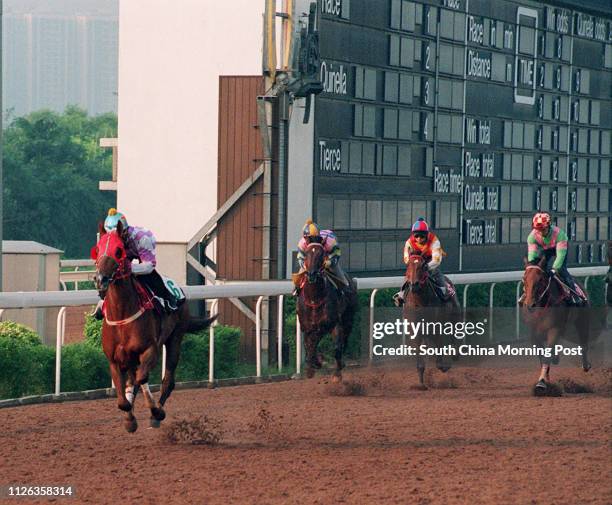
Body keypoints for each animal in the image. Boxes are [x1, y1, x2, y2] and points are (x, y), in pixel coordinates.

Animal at [91, 222, 215, 432]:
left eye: (118, 251)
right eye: (98, 249)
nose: (101, 280)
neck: (122, 315)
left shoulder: (150, 350)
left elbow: (142, 379)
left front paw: (156, 412)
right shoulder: (114, 360)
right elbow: (123, 399)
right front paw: (129, 418)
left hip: (175, 338)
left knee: (167, 381)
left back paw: (157, 413)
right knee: (134, 381)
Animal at [296, 242, 356, 380]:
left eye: (321, 254)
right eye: (306, 253)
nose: (311, 274)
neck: (314, 299)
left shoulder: (333, 324)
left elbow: (336, 348)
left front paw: (337, 373)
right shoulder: (308, 327)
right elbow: (309, 346)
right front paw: (313, 366)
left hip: (348, 319)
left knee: (344, 341)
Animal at [402, 254, 460, 388]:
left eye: (423, 266)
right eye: (408, 266)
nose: (414, 285)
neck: (420, 302)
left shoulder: (436, 327)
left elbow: (439, 359)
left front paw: (446, 365)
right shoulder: (415, 331)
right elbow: (420, 359)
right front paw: (421, 384)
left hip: (454, 313)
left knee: (454, 332)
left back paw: (455, 354)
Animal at [520, 256, 592, 394]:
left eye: (540, 279)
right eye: (524, 278)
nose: (530, 304)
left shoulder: (554, 329)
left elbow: (547, 354)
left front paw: (542, 383)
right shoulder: (534, 333)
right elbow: (542, 355)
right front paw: (546, 379)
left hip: (582, 319)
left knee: (584, 341)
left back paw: (586, 364)